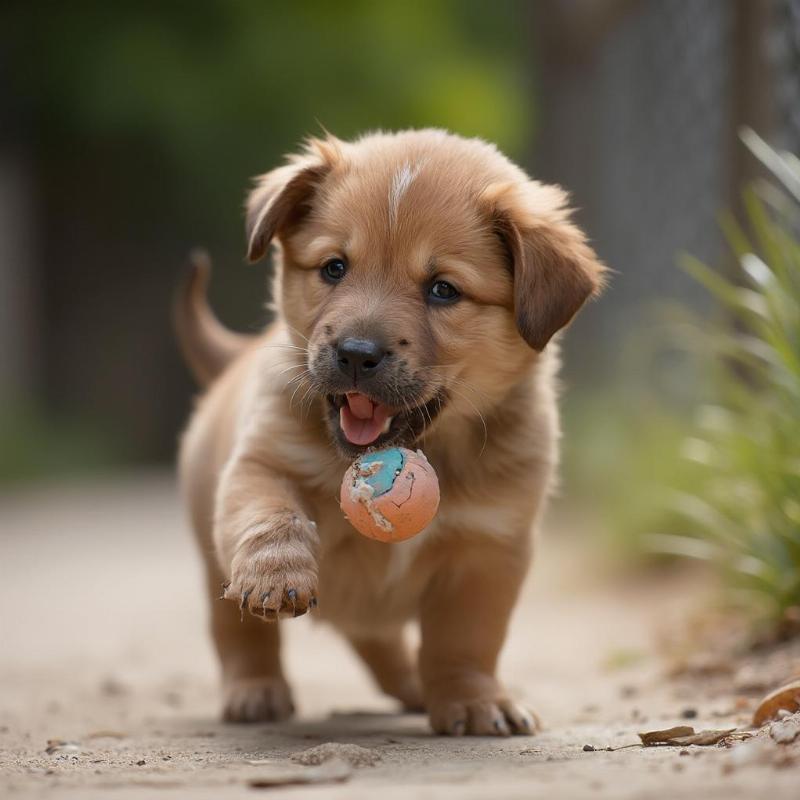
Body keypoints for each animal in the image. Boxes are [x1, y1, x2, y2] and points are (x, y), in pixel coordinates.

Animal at [173, 128, 600, 736]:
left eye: (443, 290)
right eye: (334, 268)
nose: (355, 354)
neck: (425, 446)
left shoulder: (488, 548)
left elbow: (466, 641)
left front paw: (474, 700)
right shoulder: (261, 463)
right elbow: (271, 517)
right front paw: (275, 573)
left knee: (377, 641)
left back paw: (415, 687)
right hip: (213, 562)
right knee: (237, 633)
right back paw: (255, 690)